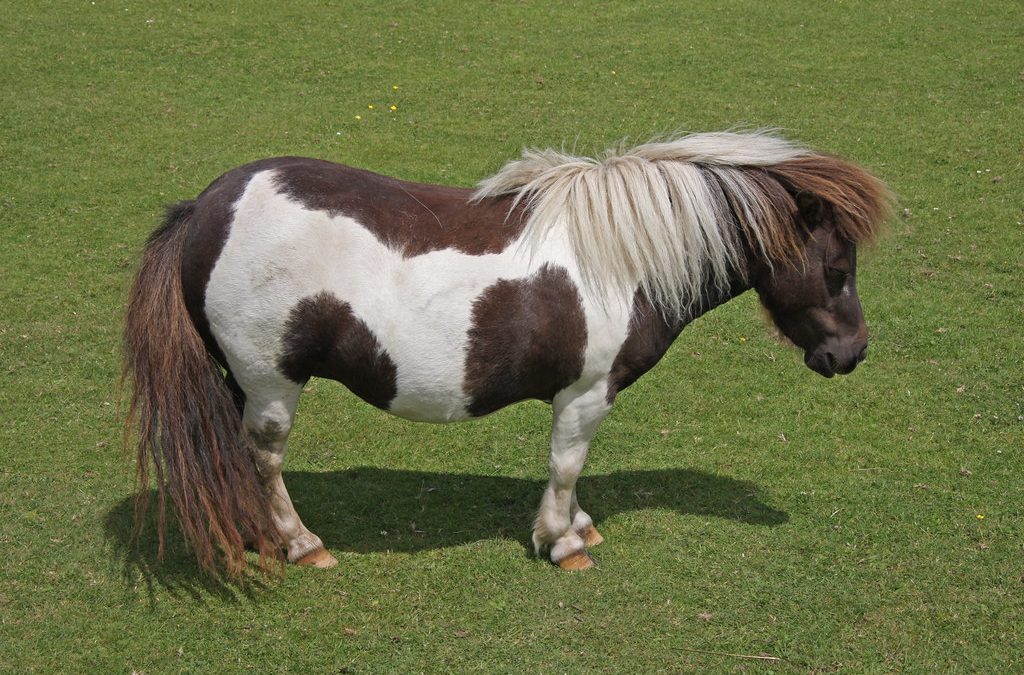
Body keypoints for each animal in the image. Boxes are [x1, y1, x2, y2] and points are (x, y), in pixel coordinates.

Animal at [123, 130, 891, 577]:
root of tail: (205, 208)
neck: (623, 259)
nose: (851, 353)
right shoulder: (586, 392)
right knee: (264, 460)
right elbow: (565, 465)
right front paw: (562, 541)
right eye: (836, 270)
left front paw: (578, 526)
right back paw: (298, 542)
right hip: (271, 384)